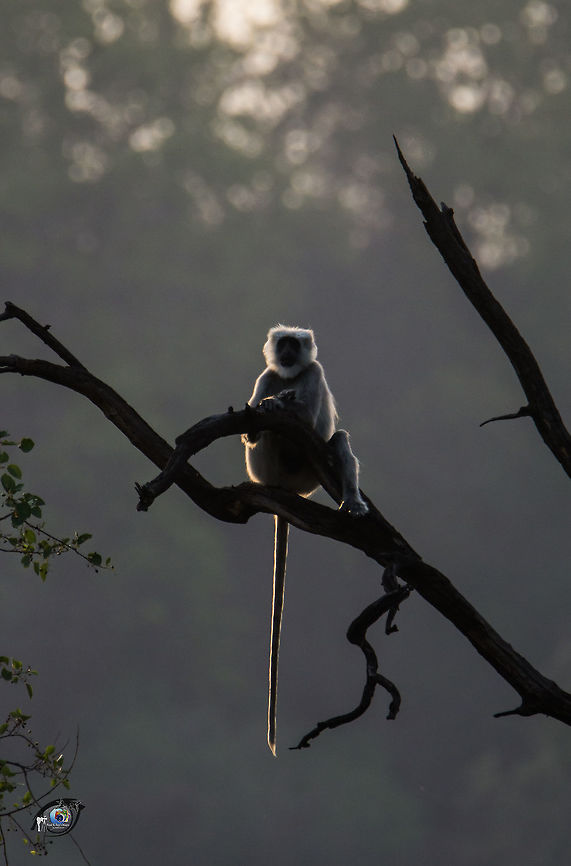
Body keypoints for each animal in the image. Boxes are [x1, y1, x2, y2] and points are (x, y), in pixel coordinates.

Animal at [242, 325, 368, 755]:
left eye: (295, 345)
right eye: (283, 344)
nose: (287, 351)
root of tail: (284, 489)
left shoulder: (314, 370)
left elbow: (312, 415)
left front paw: (287, 401)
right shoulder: (267, 375)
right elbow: (249, 428)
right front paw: (272, 405)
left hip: (308, 478)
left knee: (338, 438)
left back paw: (352, 501)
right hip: (265, 471)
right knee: (263, 438)